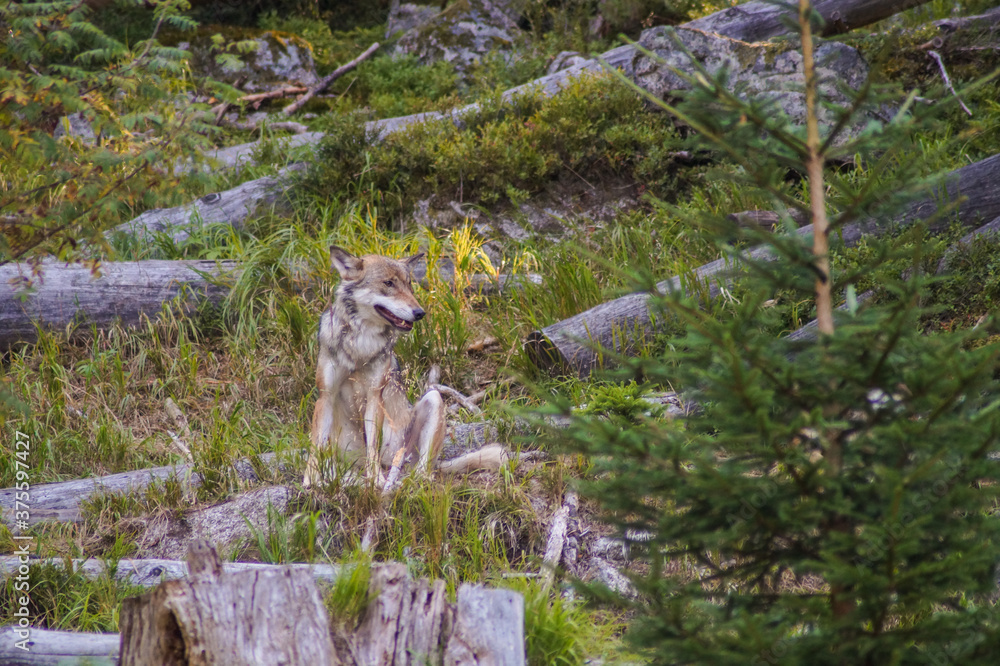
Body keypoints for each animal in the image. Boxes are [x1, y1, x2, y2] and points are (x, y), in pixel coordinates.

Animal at [303, 245, 506, 487]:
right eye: (388, 283)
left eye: (409, 285)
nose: (420, 313)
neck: (360, 343)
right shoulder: (325, 394)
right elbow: (314, 446)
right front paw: (309, 482)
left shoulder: (375, 395)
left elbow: (373, 446)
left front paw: (376, 481)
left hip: (433, 401)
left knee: (422, 472)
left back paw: (402, 482)